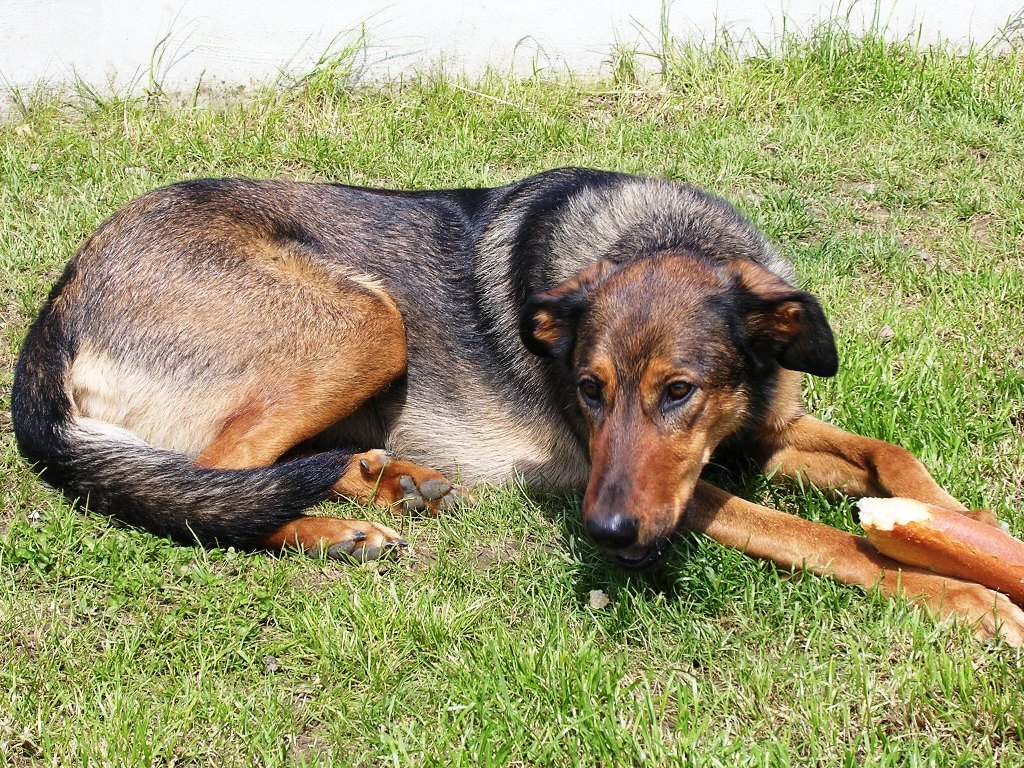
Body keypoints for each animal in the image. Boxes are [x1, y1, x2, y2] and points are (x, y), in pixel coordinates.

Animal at [9, 167, 1024, 643]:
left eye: (680, 392)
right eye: (588, 390)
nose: (603, 534)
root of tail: (61, 298)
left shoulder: (763, 432)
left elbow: (892, 458)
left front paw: (964, 528)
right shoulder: (686, 491)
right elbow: (824, 538)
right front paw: (963, 596)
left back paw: (390, 481)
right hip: (368, 320)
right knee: (209, 486)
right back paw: (338, 529)